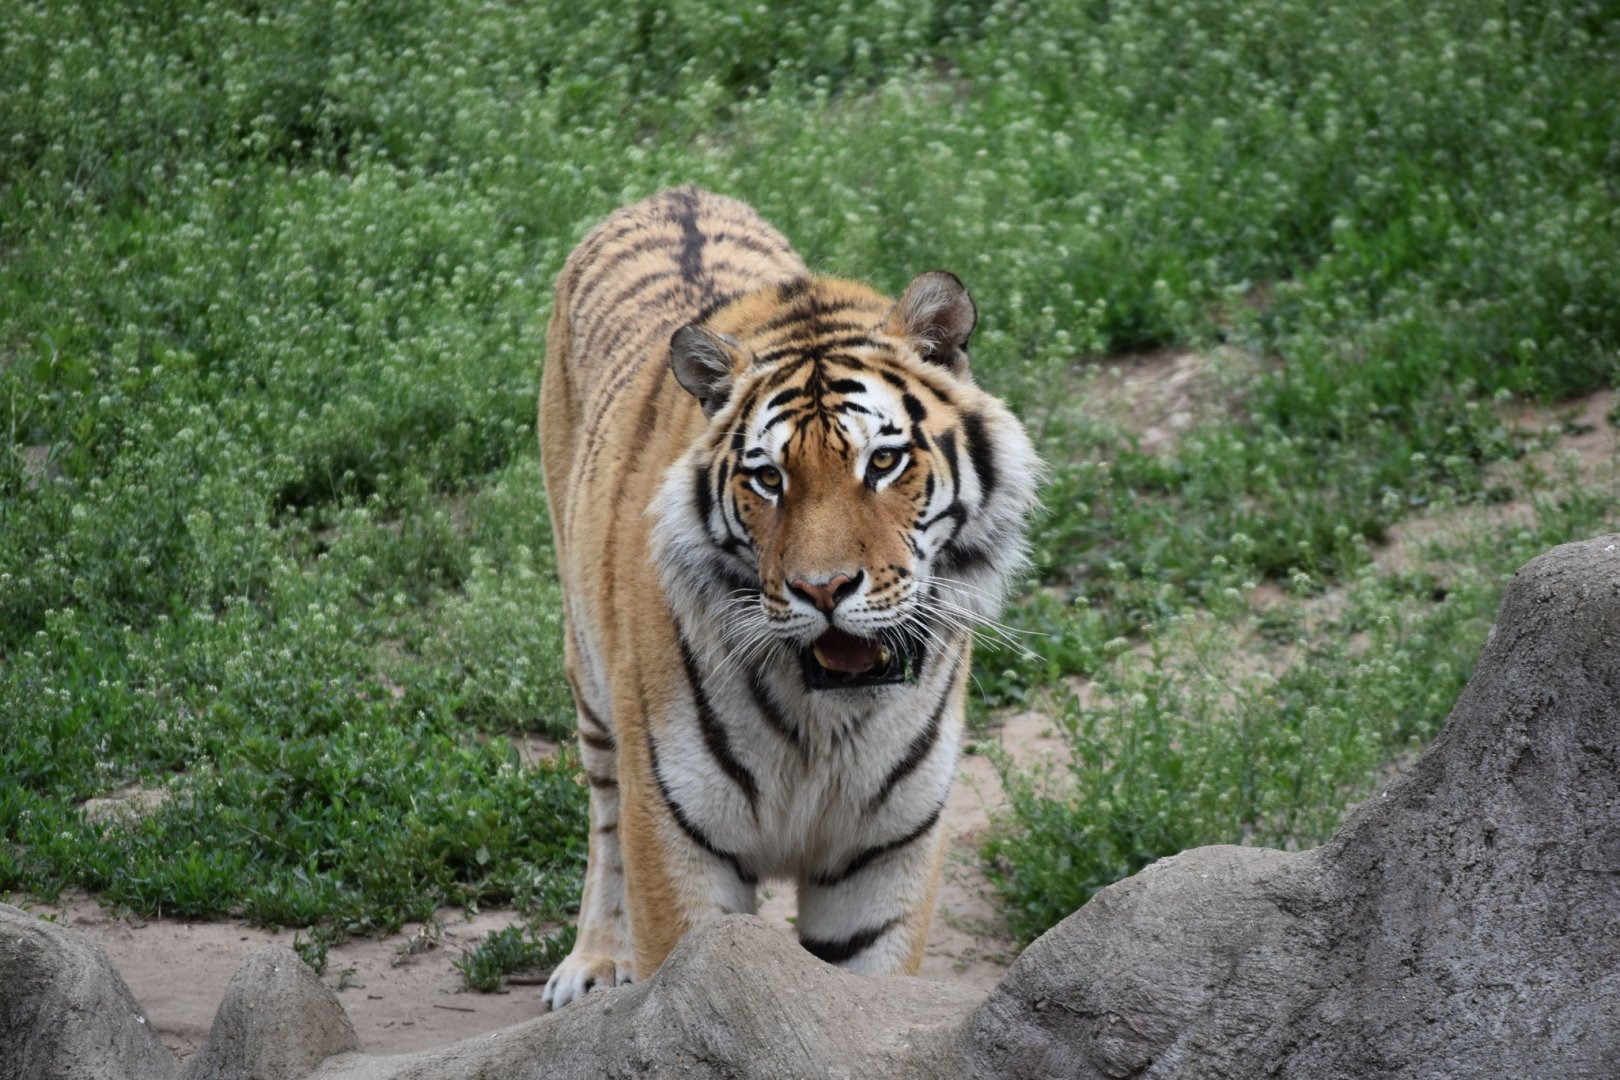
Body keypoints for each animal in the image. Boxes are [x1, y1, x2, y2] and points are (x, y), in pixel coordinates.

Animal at [537, 186, 1038, 1009]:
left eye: (884, 462)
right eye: (768, 478)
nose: (823, 589)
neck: (827, 719)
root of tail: (674, 192)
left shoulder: (885, 852)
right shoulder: (674, 836)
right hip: (589, 668)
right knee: (604, 807)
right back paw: (595, 961)